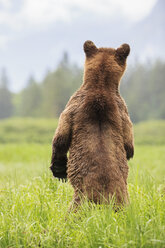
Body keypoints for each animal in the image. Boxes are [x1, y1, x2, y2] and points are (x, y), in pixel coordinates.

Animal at [50, 40, 134, 209]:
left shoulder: (73, 106)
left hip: (81, 199)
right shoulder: (119, 112)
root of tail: (105, 199)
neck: (101, 84)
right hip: (122, 201)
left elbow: (61, 138)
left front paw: (58, 170)